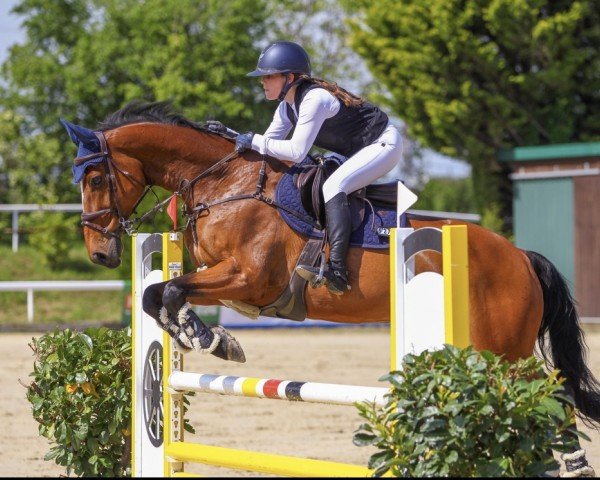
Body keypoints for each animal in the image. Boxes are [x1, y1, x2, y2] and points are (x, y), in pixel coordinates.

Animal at [62, 101, 600, 476]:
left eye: (95, 177)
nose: (99, 254)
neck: (223, 183)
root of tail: (520, 256)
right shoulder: (227, 281)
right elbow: (157, 297)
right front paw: (209, 338)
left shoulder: (249, 279)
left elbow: (169, 294)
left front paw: (213, 340)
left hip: (502, 348)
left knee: (551, 395)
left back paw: (572, 465)